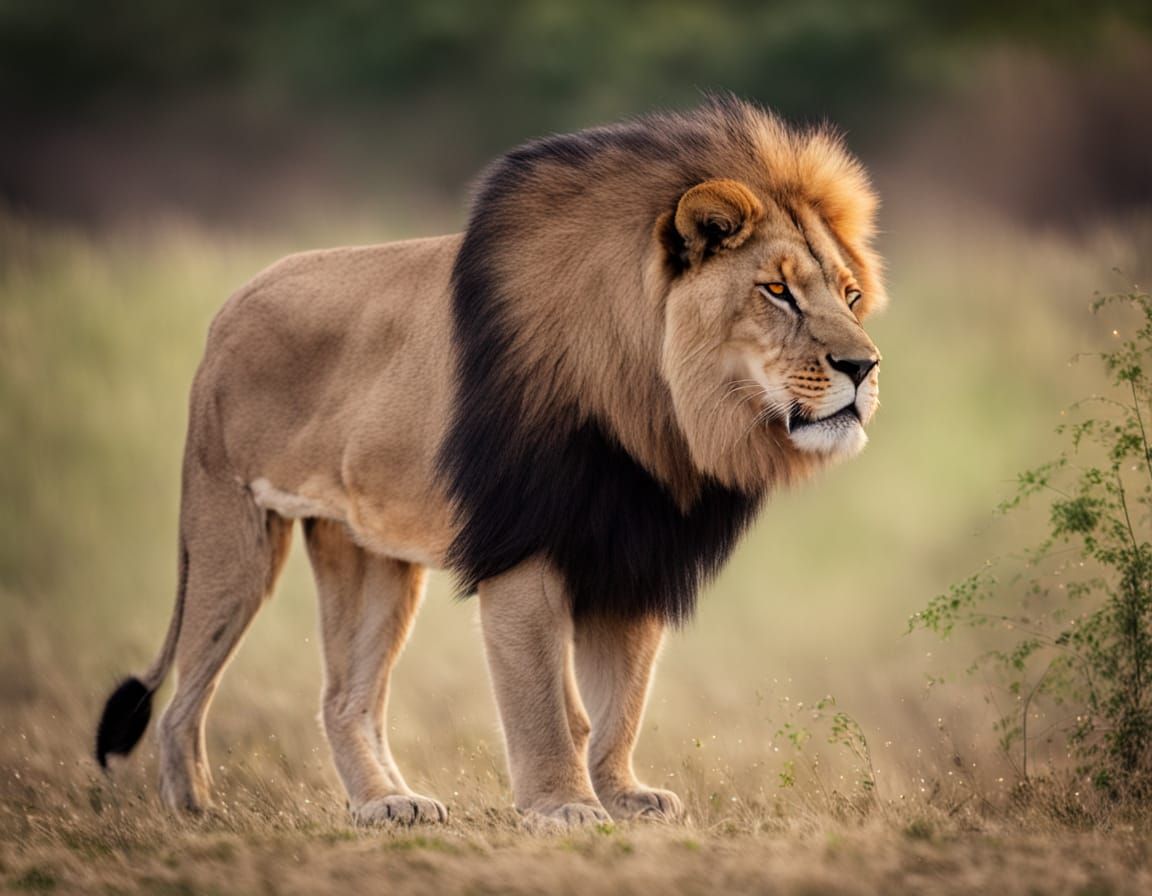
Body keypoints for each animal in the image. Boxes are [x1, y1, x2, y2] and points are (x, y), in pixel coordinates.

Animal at [95, 97, 885, 827]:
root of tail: (230, 305)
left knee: (344, 698)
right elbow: (543, 701)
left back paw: (388, 803)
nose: (864, 366)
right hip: (233, 530)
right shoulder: (524, 545)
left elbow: (620, 701)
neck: (658, 409)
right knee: (186, 694)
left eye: (850, 296)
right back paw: (196, 810)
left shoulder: (631, 549)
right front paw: (563, 806)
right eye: (776, 291)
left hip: (371, 554)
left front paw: (622, 795)